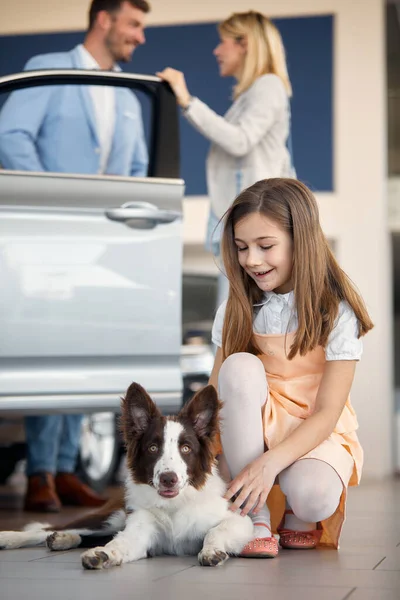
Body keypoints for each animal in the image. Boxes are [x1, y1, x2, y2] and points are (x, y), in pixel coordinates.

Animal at [0, 382, 252, 568]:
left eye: (186, 448)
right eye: (153, 448)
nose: (168, 479)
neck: (175, 504)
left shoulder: (241, 520)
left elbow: (215, 530)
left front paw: (211, 550)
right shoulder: (140, 529)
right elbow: (119, 544)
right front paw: (102, 554)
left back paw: (62, 540)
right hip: (111, 516)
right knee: (49, 529)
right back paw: (13, 537)